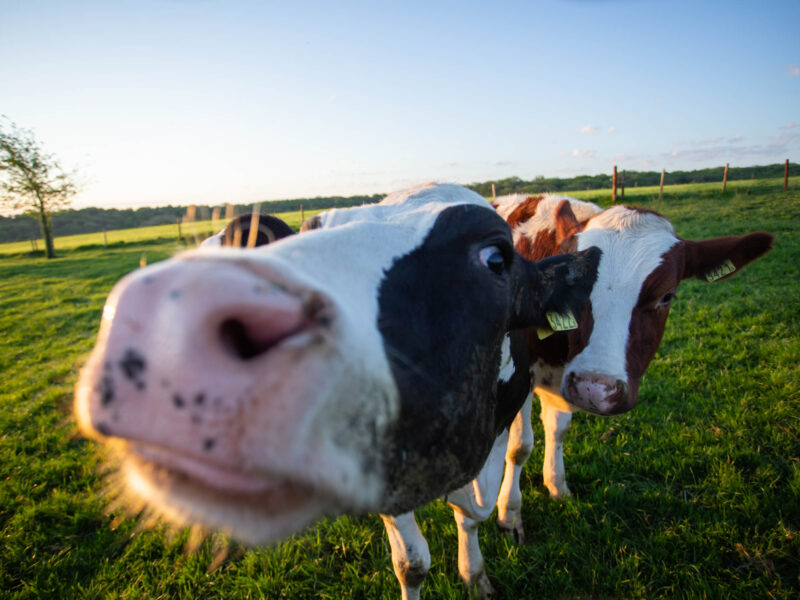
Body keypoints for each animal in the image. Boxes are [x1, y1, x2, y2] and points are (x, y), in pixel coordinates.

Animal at [73, 184, 600, 573]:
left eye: (496, 258)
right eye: (309, 233)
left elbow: (474, 511)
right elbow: (413, 562)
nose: (173, 310)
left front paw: (477, 571)